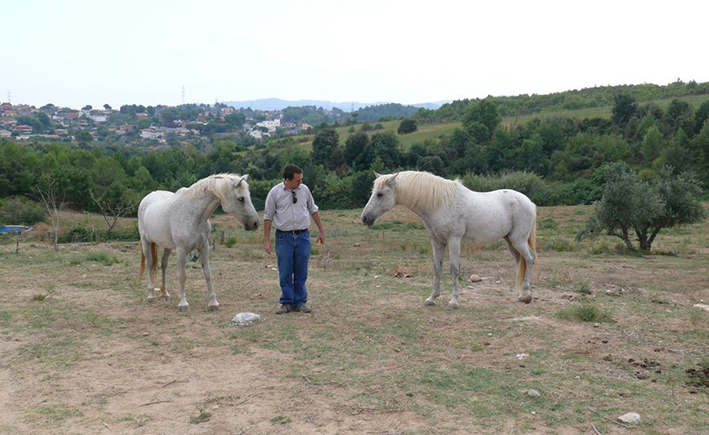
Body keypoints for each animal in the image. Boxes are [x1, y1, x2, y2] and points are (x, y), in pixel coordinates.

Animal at [137, 172, 258, 312]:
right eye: (241, 199)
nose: (255, 223)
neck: (193, 214)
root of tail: (147, 198)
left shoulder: (204, 247)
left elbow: (207, 274)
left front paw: (213, 303)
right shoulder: (181, 250)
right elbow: (182, 276)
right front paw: (183, 304)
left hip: (167, 246)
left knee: (164, 264)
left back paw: (165, 294)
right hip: (145, 241)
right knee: (150, 264)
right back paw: (151, 295)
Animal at [360, 170, 536, 310]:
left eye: (380, 194)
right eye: (373, 192)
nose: (364, 218)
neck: (439, 203)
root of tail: (529, 202)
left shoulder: (454, 240)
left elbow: (453, 269)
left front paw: (453, 302)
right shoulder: (437, 241)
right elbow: (437, 268)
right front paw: (431, 298)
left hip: (518, 240)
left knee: (529, 259)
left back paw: (527, 295)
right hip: (511, 242)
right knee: (521, 261)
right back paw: (521, 295)